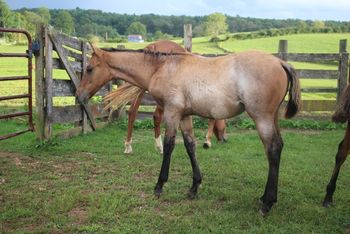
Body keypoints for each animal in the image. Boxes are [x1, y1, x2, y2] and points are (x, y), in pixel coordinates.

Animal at [76, 43, 300, 215]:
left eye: (89, 69)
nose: (79, 96)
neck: (162, 68)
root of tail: (280, 62)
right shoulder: (184, 116)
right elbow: (190, 145)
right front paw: (194, 187)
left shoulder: (172, 112)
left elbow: (169, 145)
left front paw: (159, 186)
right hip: (272, 117)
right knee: (277, 147)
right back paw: (264, 197)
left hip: (262, 118)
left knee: (272, 149)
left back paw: (267, 203)